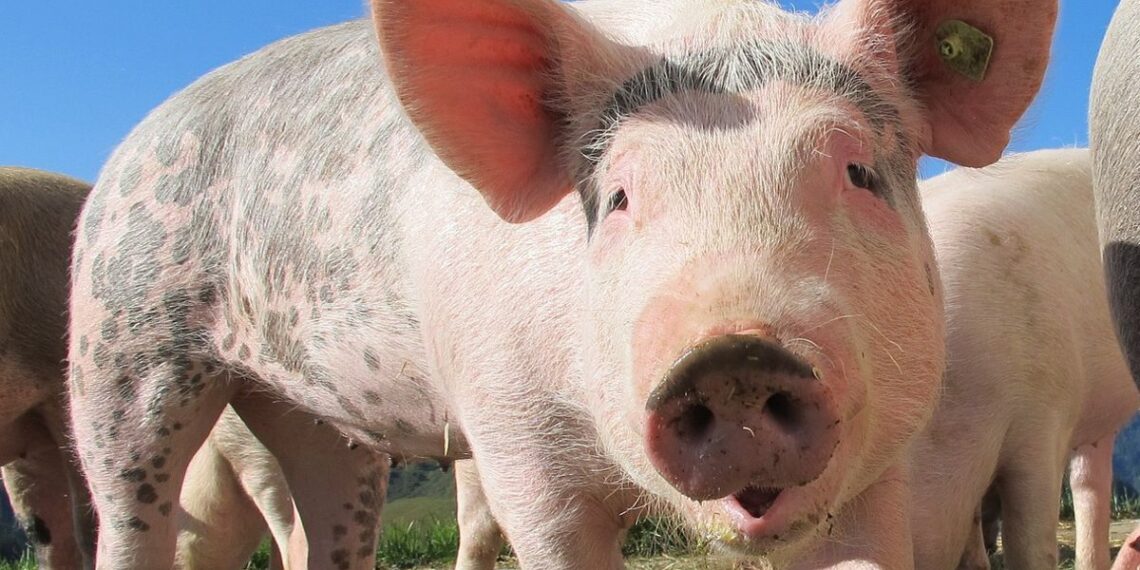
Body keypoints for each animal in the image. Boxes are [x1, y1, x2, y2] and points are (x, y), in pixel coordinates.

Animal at [65, 0, 1058, 567]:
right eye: (616, 197)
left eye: (856, 172)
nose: (735, 356)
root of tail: (130, 146)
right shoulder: (513, 442)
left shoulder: (884, 457)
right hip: (122, 340)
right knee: (128, 511)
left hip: (314, 418)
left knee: (324, 524)